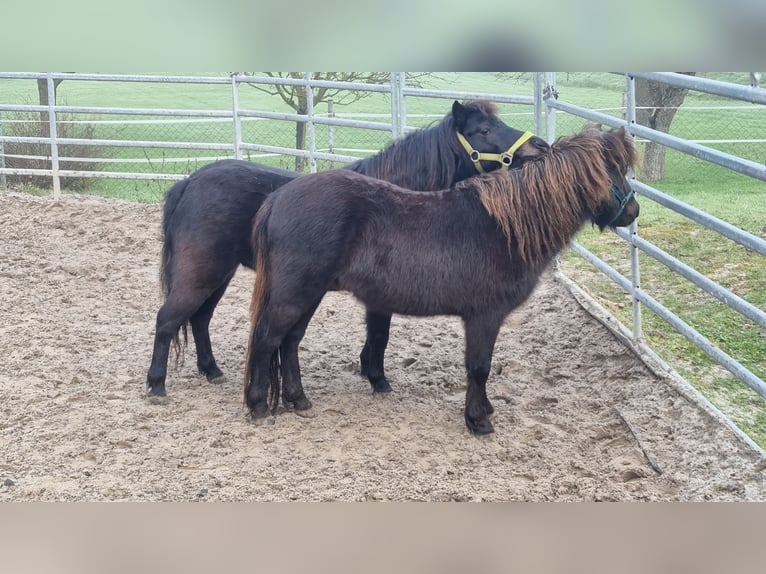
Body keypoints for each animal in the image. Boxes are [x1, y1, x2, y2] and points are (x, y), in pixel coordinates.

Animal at [147, 101, 548, 398]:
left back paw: (211, 370)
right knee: (169, 319)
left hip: (220, 274)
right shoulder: (380, 297)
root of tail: (189, 182)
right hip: (202, 271)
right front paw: (378, 379)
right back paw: (156, 385)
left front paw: (369, 372)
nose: (539, 147)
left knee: (199, 318)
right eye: (483, 130)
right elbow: (380, 334)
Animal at [246, 125, 640, 432]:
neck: (505, 228)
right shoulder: (484, 316)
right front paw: (478, 420)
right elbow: (479, 367)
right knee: (267, 340)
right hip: (295, 293)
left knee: (289, 341)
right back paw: (258, 405)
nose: (633, 211)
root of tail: (277, 198)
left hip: (308, 294)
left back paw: (298, 400)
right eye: (616, 172)